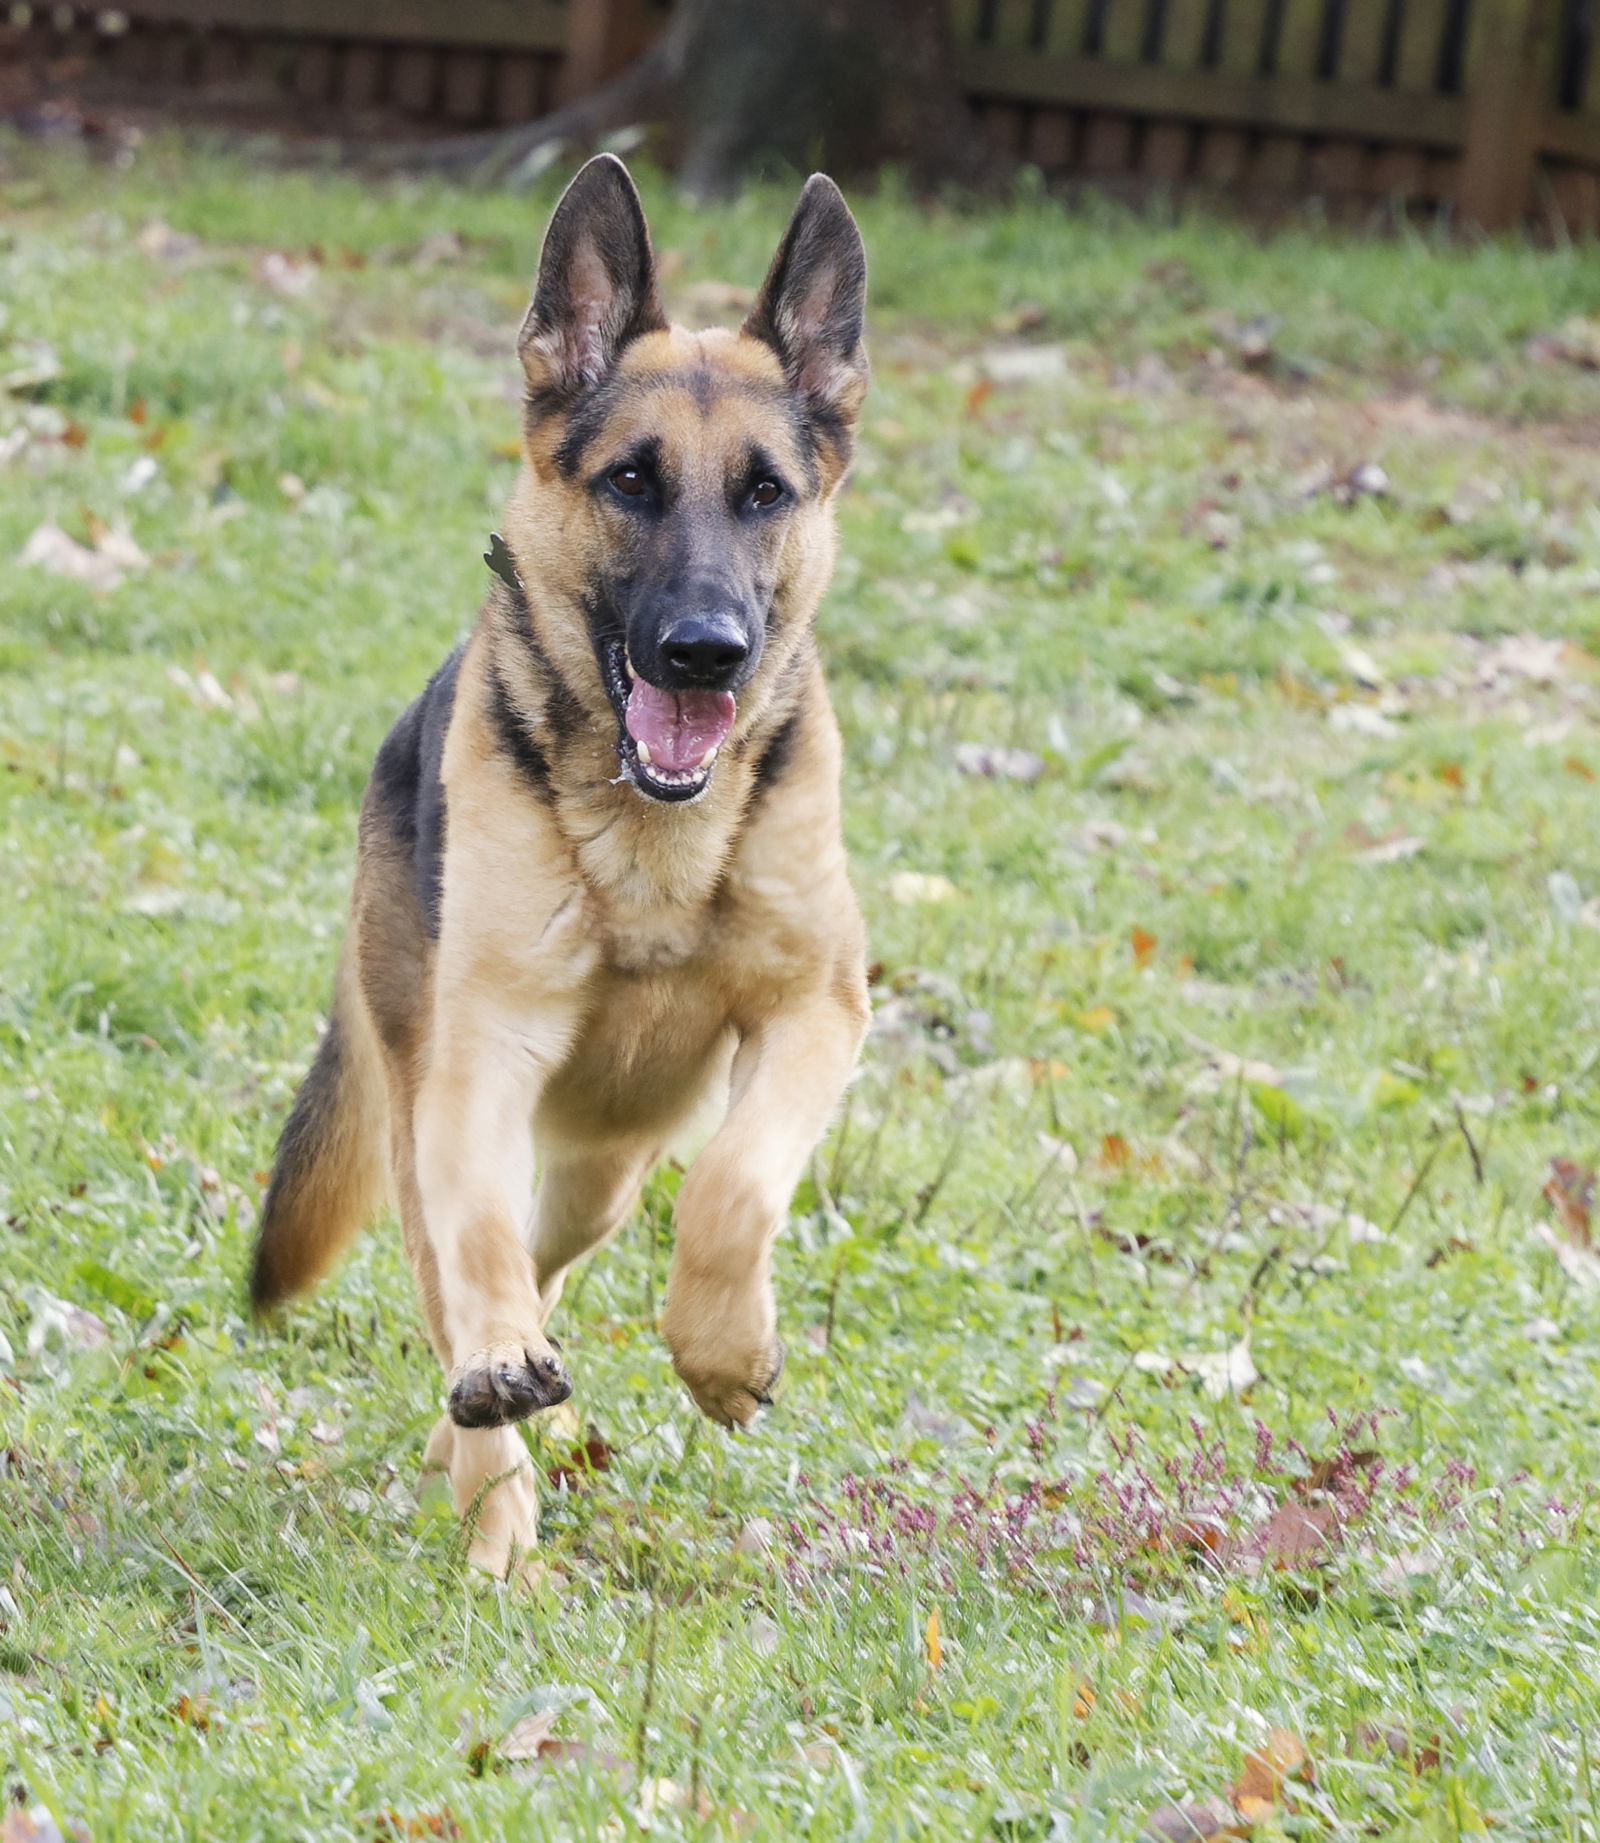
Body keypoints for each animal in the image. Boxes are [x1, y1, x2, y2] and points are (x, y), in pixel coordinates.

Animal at [250, 158, 870, 1577]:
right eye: (631, 481)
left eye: (765, 492)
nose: (703, 650)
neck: (654, 842)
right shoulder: (482, 1052)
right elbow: (477, 1249)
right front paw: (499, 1407)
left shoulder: (815, 1012)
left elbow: (734, 1186)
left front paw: (723, 1354)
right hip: (434, 1103)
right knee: (470, 1269)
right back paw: (494, 1501)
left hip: (606, 1164)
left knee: (556, 1245)